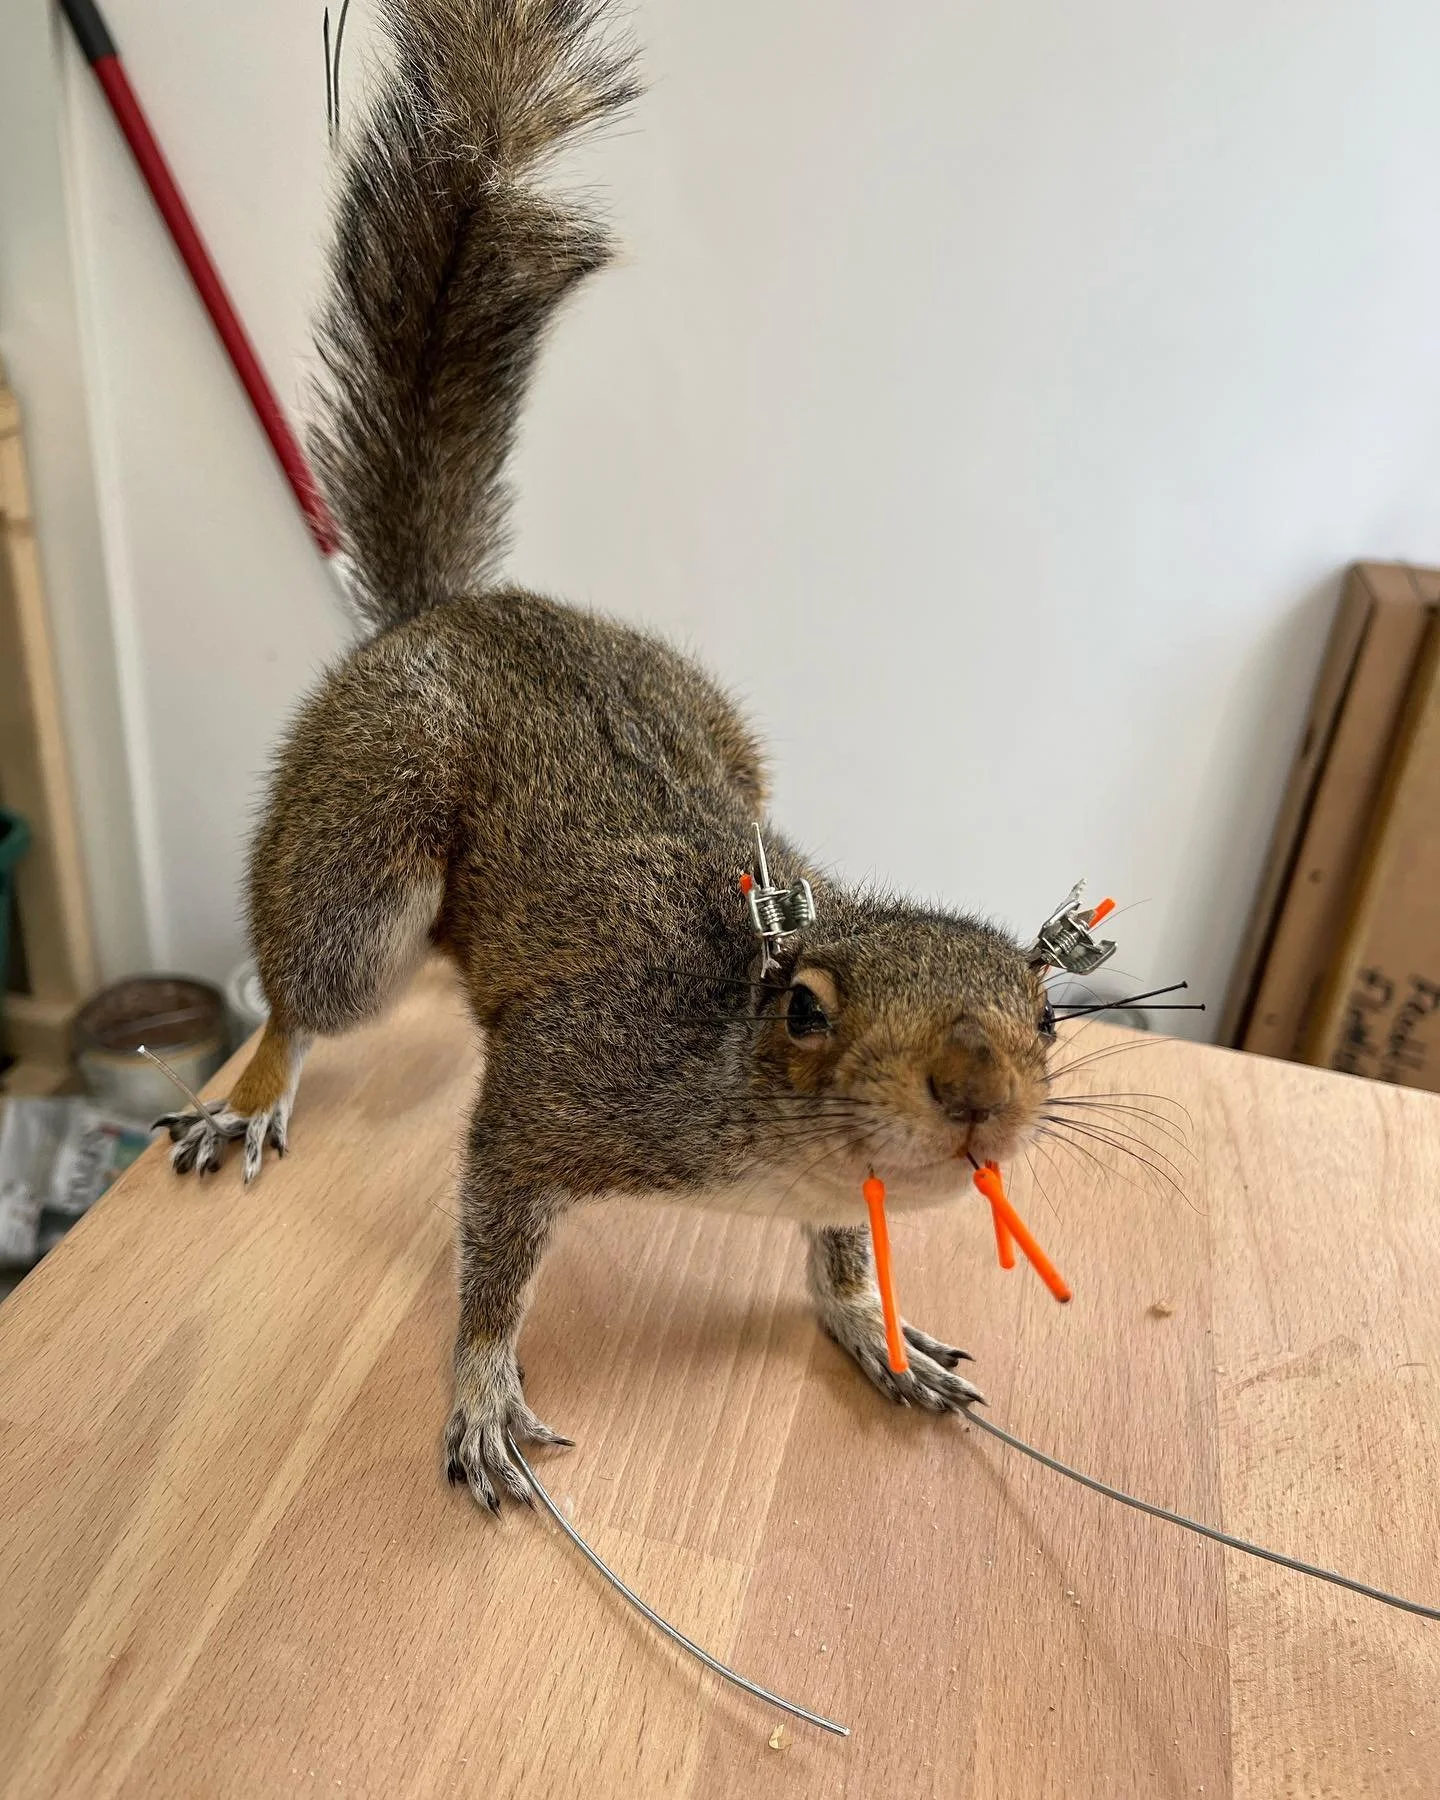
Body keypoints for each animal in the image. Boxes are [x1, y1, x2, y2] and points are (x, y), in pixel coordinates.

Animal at [157, 0, 1058, 1514]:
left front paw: (872, 1328)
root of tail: (453, 612)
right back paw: (260, 1090)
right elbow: (493, 1243)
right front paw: (479, 1395)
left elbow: (841, 1260)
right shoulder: (566, 1090)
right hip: (367, 837)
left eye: (1051, 1020)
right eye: (806, 1011)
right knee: (308, 987)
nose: (980, 1101)